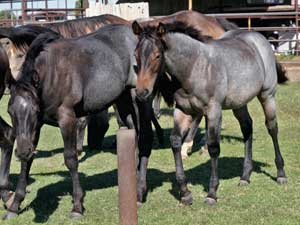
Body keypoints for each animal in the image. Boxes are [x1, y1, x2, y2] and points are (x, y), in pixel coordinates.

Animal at [132, 21, 288, 206]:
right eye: (135, 55)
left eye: (157, 56)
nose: (141, 92)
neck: (194, 68)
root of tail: (258, 37)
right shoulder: (182, 111)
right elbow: (175, 141)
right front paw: (185, 193)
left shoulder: (213, 111)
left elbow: (213, 147)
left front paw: (212, 193)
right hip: (239, 102)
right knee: (247, 127)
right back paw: (245, 176)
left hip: (267, 95)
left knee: (272, 127)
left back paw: (281, 174)